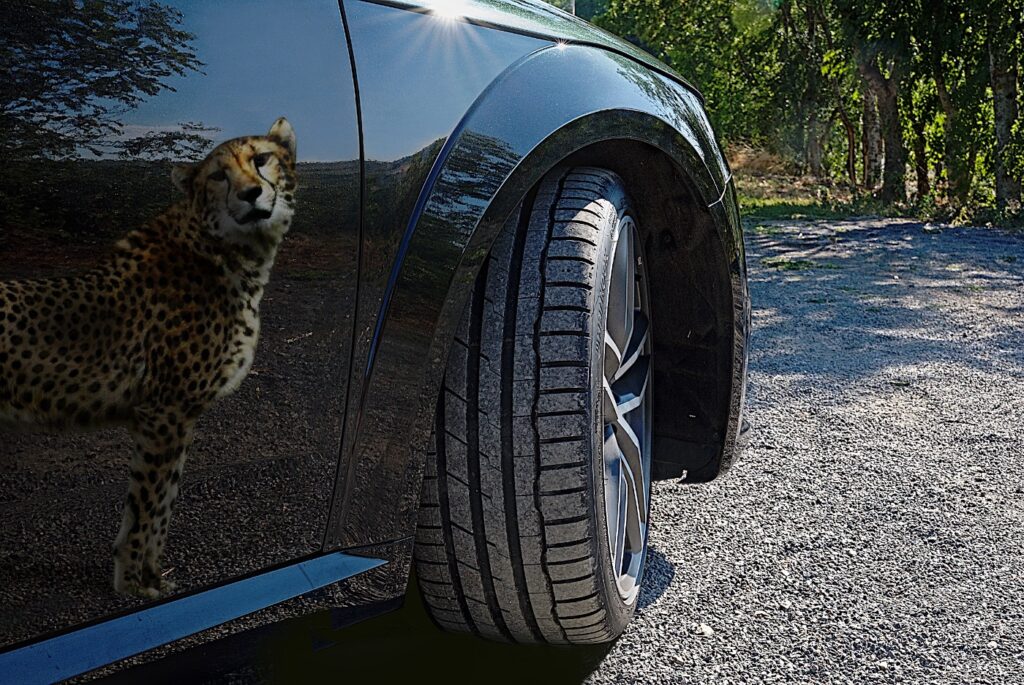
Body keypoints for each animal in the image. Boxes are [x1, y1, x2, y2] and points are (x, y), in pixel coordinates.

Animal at [0, 118, 301, 597]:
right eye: (218, 176)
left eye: (261, 159)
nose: (251, 193)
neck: (223, 250)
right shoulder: (165, 411)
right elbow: (149, 505)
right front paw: (136, 586)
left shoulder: (176, 414)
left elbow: (164, 502)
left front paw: (152, 575)